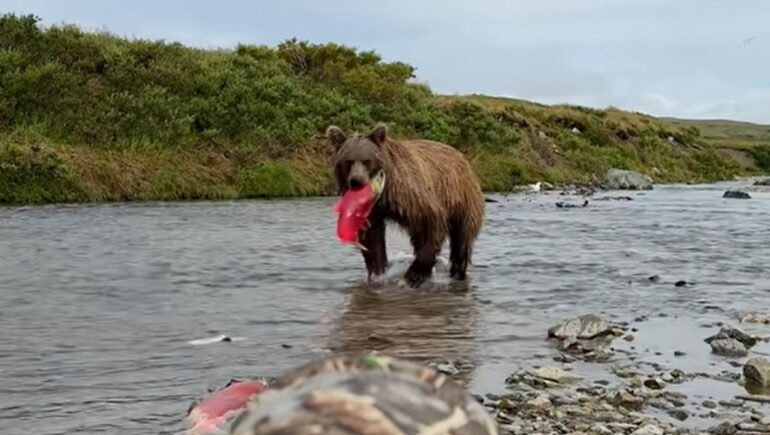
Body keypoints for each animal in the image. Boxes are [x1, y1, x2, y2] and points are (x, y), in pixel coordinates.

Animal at [328, 124, 485, 288]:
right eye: (348, 161)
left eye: (366, 160)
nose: (356, 181)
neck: (385, 192)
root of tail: (460, 155)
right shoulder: (374, 209)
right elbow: (373, 237)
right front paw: (378, 274)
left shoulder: (410, 195)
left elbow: (432, 221)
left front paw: (413, 275)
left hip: (462, 196)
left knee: (462, 238)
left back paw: (457, 271)